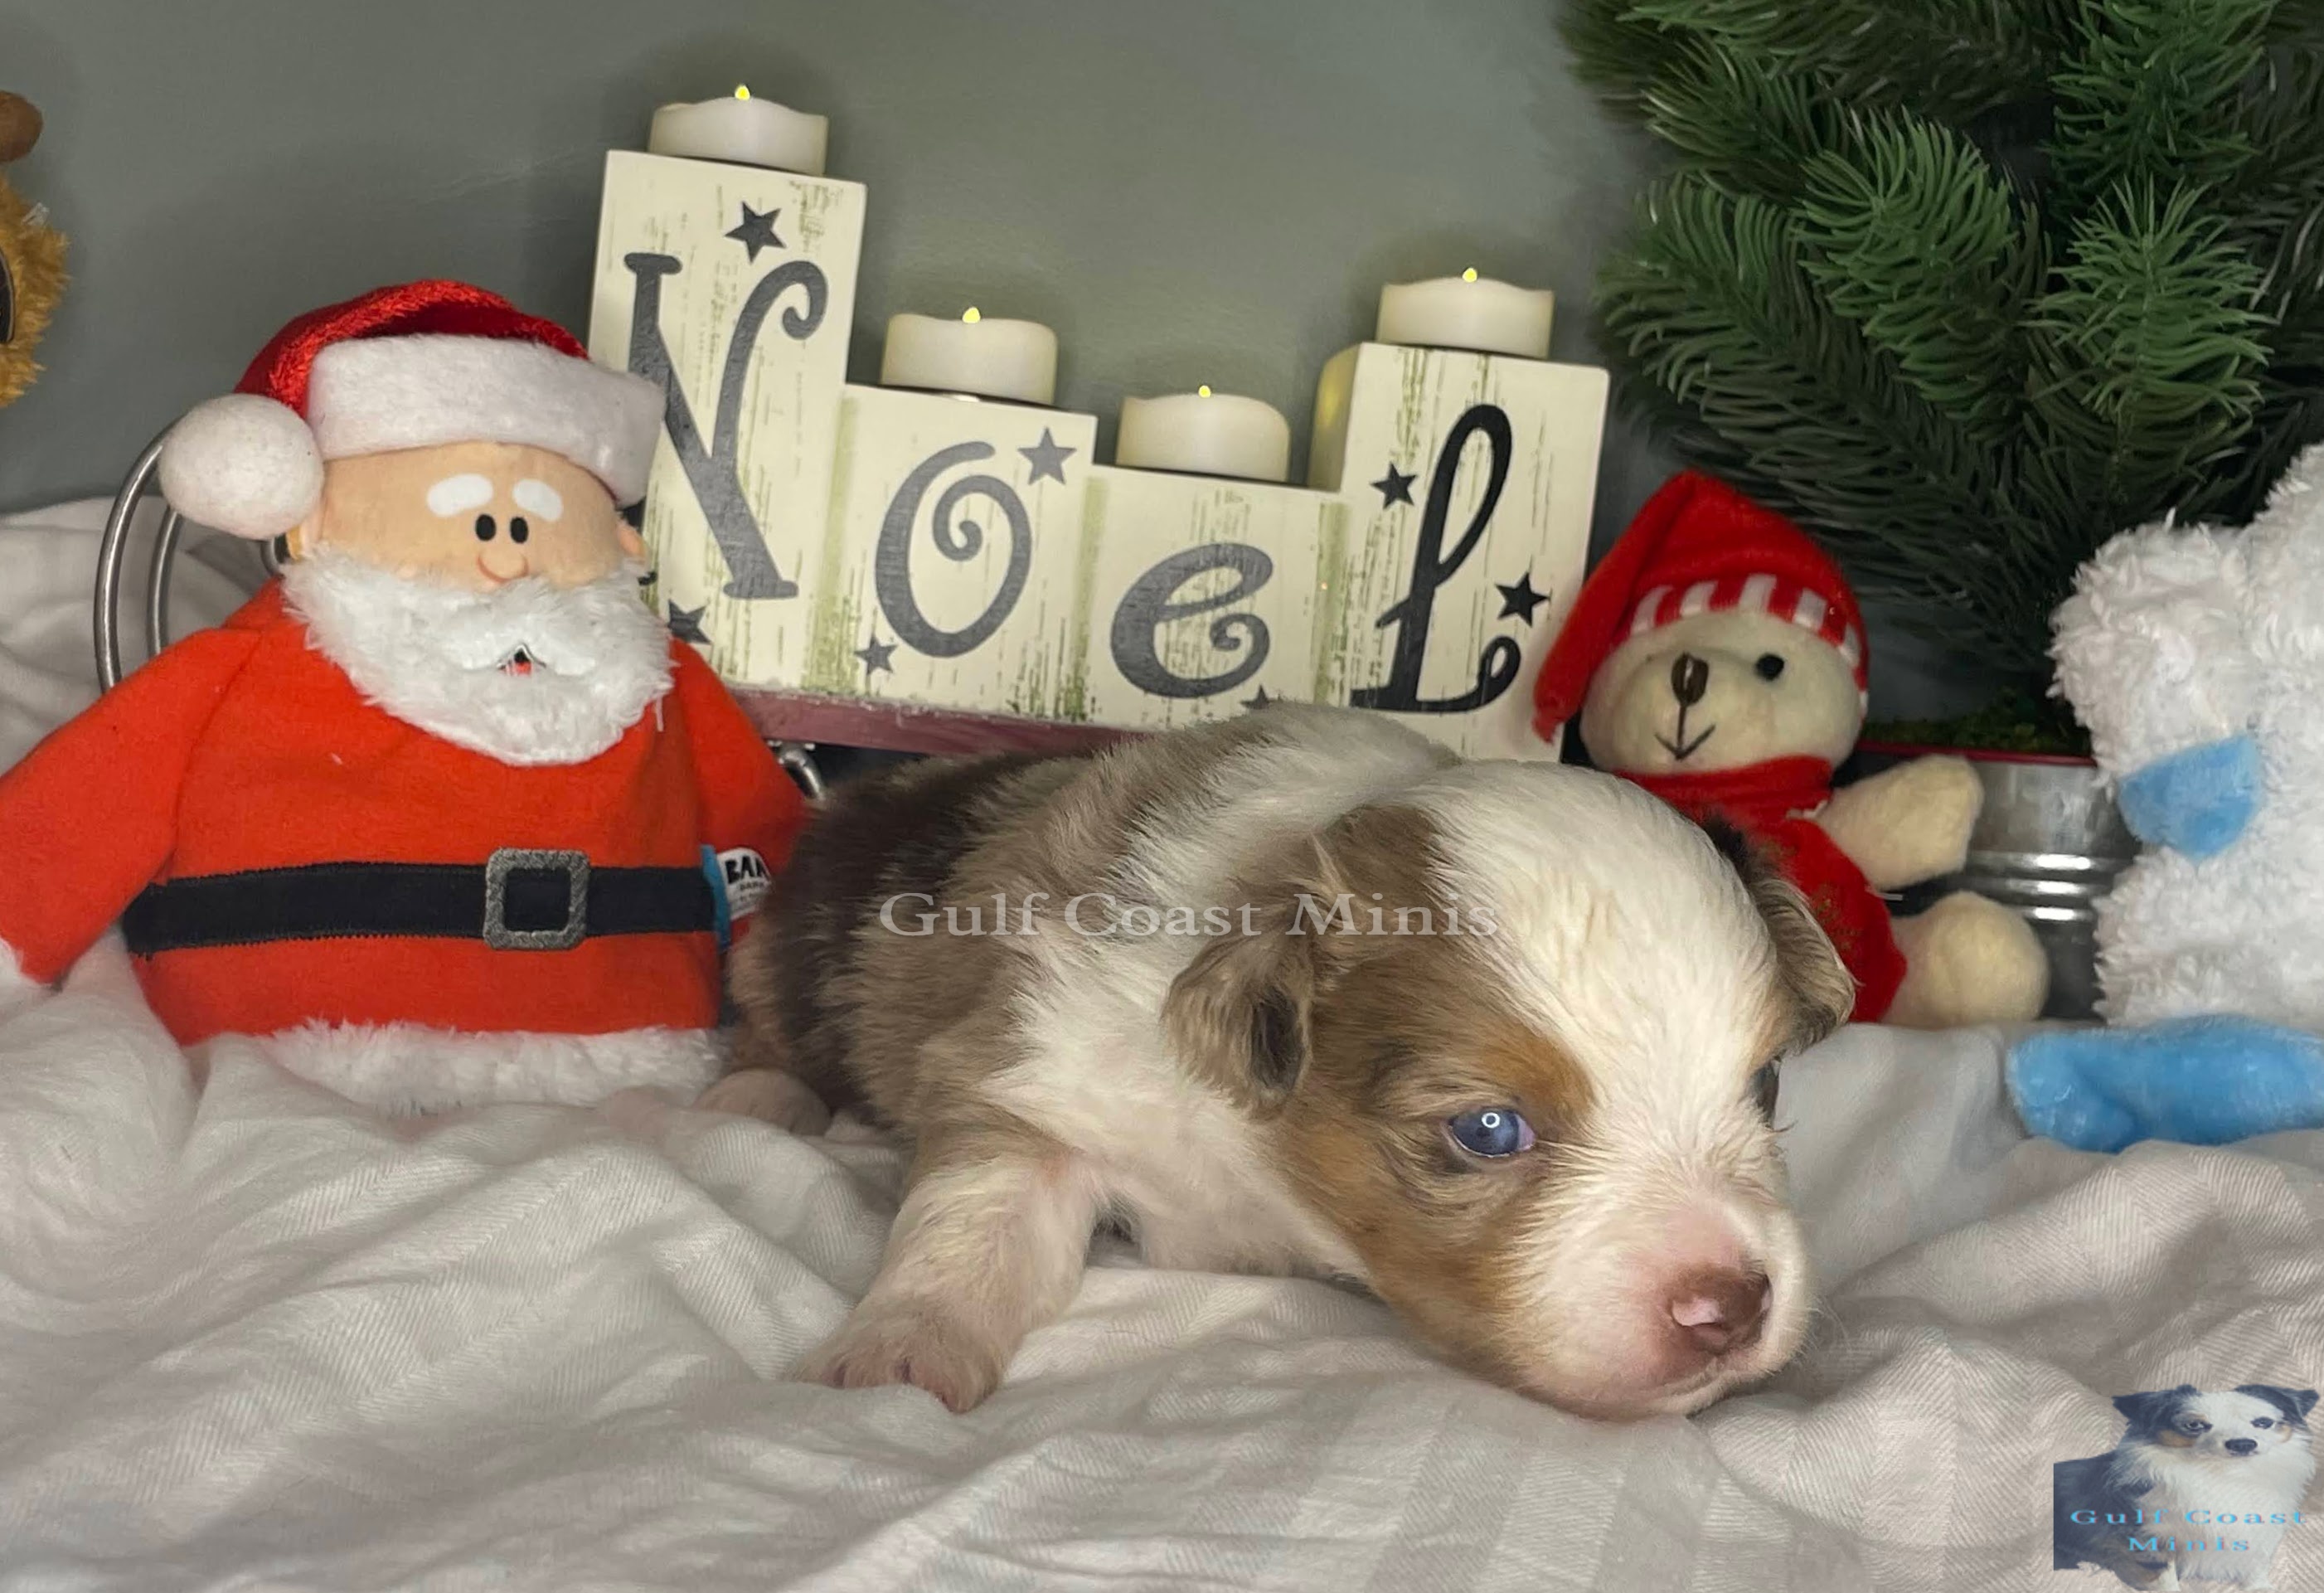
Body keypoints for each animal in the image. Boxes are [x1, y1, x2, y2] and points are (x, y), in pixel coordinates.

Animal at [705, 705, 1852, 1417]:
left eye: (1764, 1084)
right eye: (1487, 1129)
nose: (1730, 1305)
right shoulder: (1032, 1071)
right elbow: (970, 1221)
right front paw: (898, 1354)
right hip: (785, 946)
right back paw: (760, 1094)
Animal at [2054, 1384, 2318, 1589]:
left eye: (2263, 1423)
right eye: (2194, 1426)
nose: (2242, 1443)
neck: (2223, 1475)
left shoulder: (2260, 1532)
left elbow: (2256, 1563)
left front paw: (2260, 1588)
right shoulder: (2151, 1539)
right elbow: (2164, 1578)